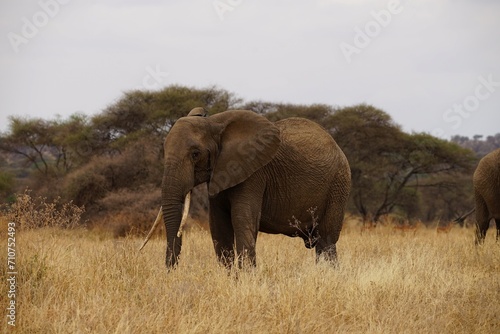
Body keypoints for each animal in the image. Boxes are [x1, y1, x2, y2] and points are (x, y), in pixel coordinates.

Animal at [149, 108, 352, 270]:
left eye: (195, 154)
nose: (170, 272)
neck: (214, 123)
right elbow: (218, 227)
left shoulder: (254, 174)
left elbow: (242, 221)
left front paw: (247, 277)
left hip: (338, 183)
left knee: (326, 240)